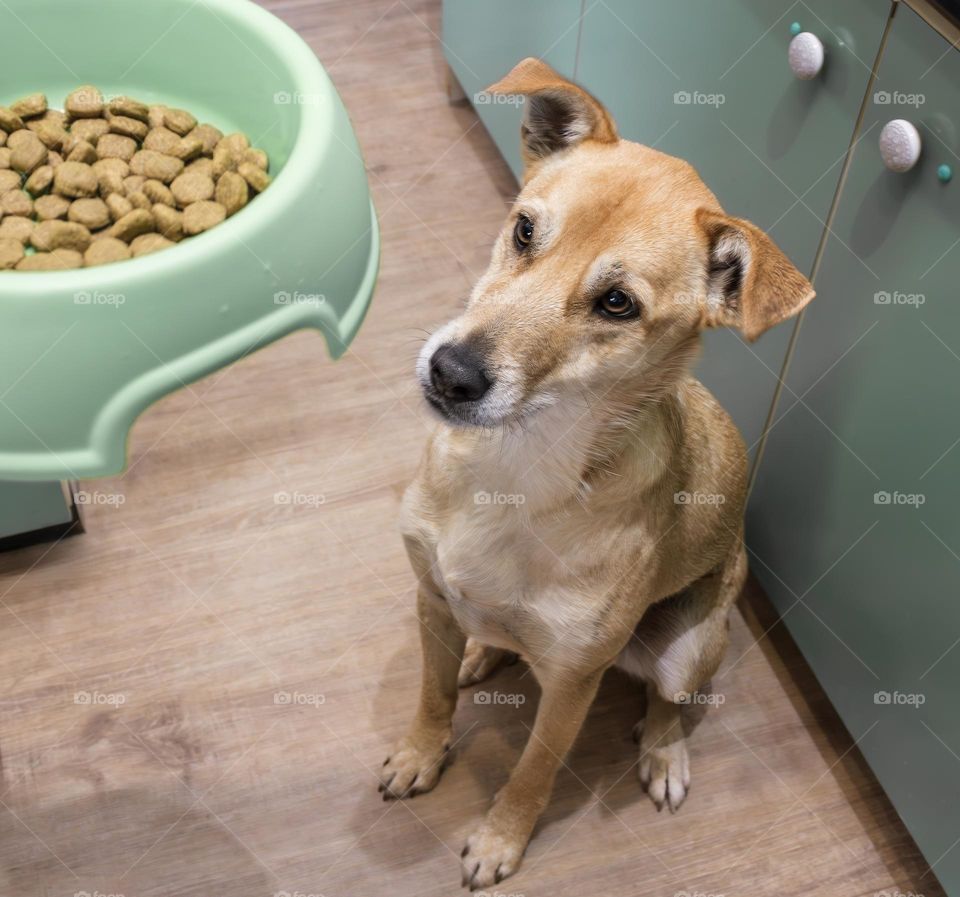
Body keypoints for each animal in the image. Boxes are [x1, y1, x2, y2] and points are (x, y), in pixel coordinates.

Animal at [378, 57, 812, 888]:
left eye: (616, 303)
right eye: (523, 229)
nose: (451, 373)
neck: (513, 463)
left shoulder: (574, 681)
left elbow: (534, 771)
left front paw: (500, 840)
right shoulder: (427, 597)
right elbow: (429, 697)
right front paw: (419, 754)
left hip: (688, 648)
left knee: (670, 702)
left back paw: (663, 754)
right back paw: (484, 649)